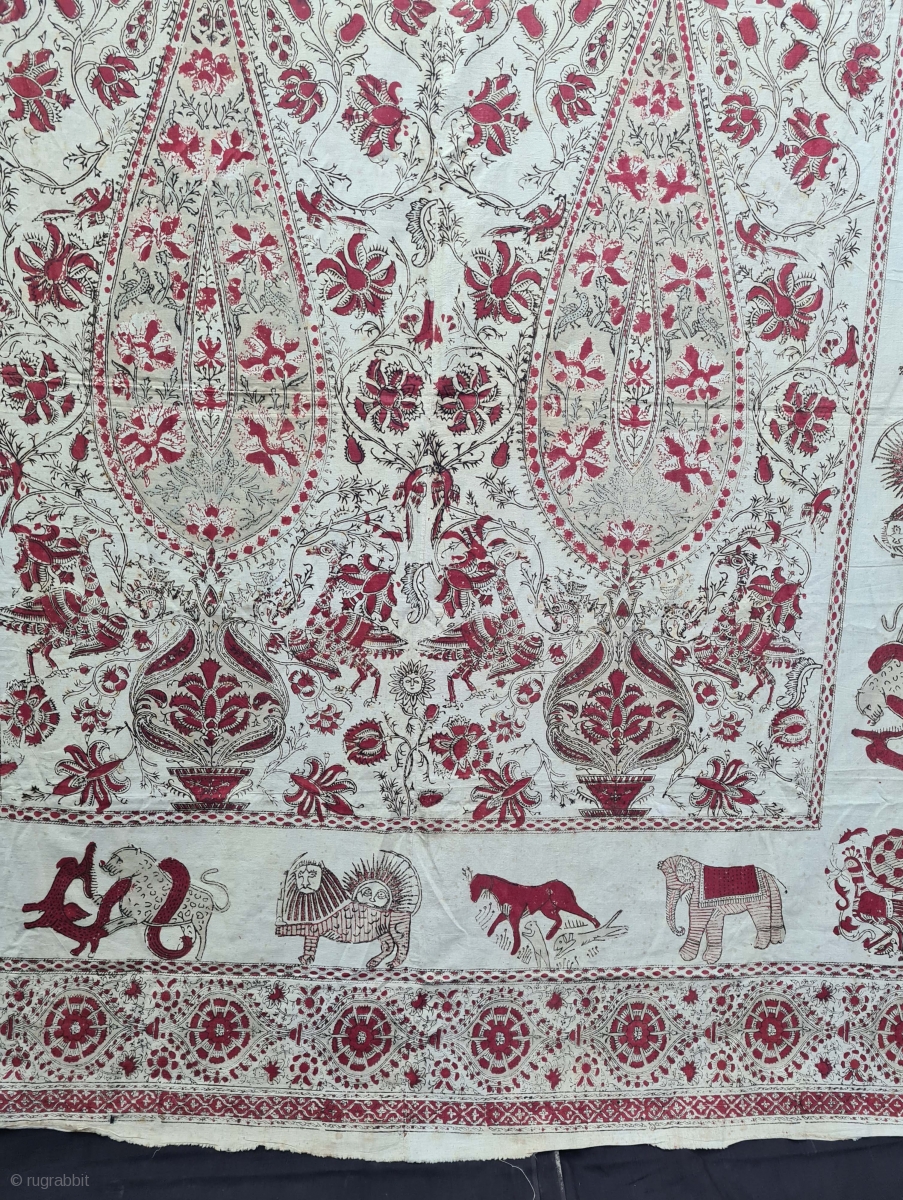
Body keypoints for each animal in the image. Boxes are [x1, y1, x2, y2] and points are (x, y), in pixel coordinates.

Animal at [657, 855, 785, 964]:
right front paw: (709, 960)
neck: (694, 864)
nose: (681, 929)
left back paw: (759, 946)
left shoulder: (699, 896)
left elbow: (697, 919)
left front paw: (684, 956)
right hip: (771, 893)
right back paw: (777, 941)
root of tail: (768, 874)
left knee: (760, 916)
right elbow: (713, 922)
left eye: (670, 871)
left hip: (760, 900)